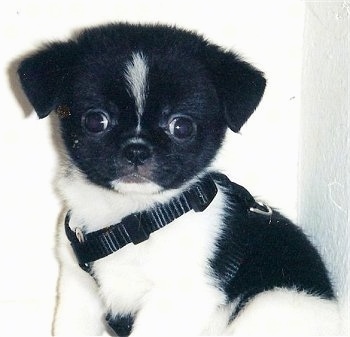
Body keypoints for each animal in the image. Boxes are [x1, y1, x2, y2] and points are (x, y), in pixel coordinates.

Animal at [17, 23, 340, 334]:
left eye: (181, 126)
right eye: (95, 120)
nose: (136, 150)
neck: (135, 219)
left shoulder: (180, 297)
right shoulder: (79, 290)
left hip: (268, 304)